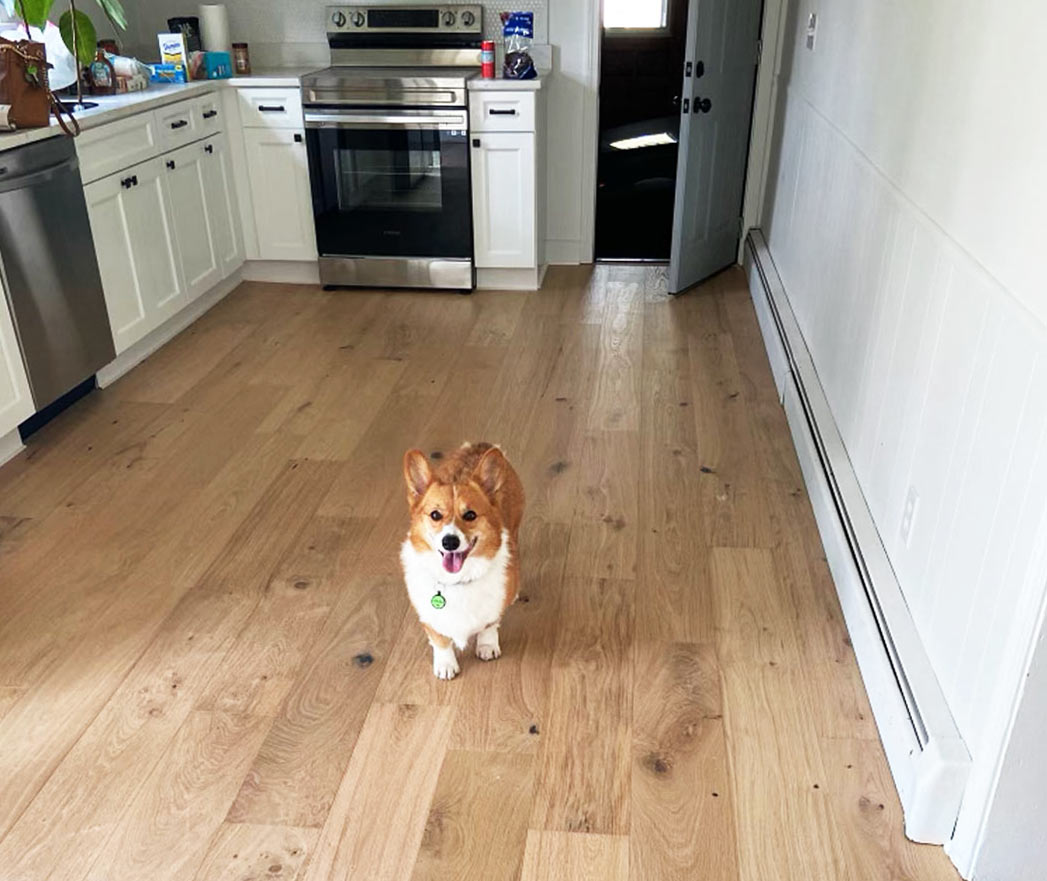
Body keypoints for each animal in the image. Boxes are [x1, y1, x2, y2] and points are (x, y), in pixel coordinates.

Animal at [404, 439, 527, 678]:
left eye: (470, 515)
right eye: (435, 515)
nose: (449, 542)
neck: (457, 580)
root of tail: (481, 444)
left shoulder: (494, 608)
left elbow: (489, 625)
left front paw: (487, 646)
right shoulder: (429, 617)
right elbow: (440, 639)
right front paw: (445, 665)